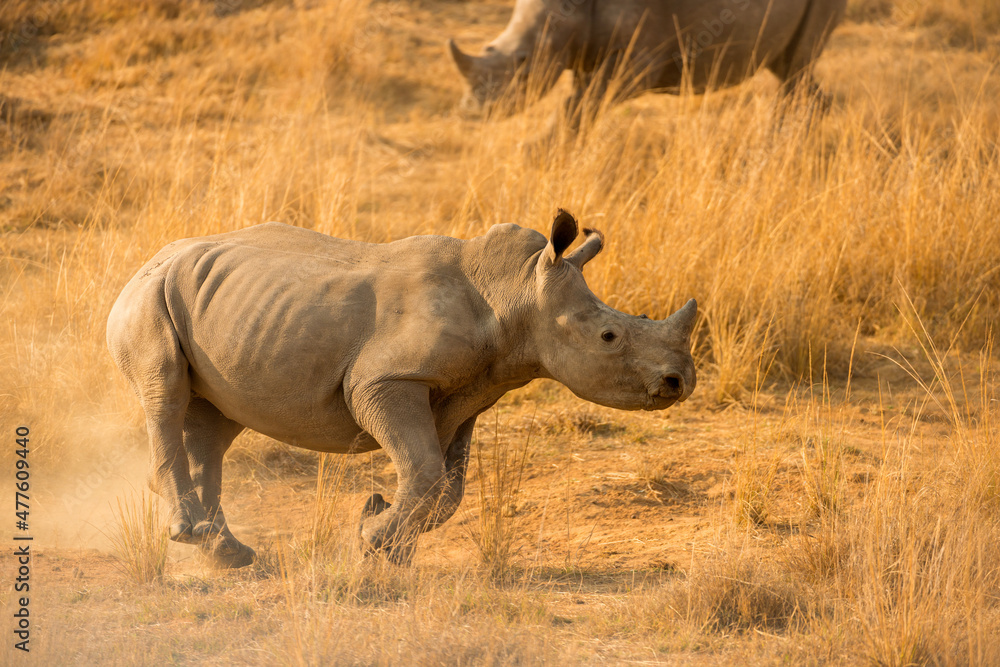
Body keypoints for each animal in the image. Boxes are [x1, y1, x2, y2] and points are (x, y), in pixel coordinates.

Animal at [106, 211, 697, 567]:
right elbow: (426, 470)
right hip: (148, 298)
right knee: (165, 394)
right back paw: (189, 532)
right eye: (609, 336)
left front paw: (385, 537)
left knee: (216, 422)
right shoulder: (386, 380)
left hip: (215, 304)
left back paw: (229, 554)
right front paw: (374, 538)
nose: (681, 380)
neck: (515, 295)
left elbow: (446, 485)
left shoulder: (467, 393)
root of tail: (147, 260)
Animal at [448, 0, 846, 122]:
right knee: (792, 69)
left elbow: (582, 105)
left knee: (796, 66)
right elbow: (579, 102)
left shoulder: (639, 62)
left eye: (524, 63)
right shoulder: (587, 55)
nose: (471, 112)